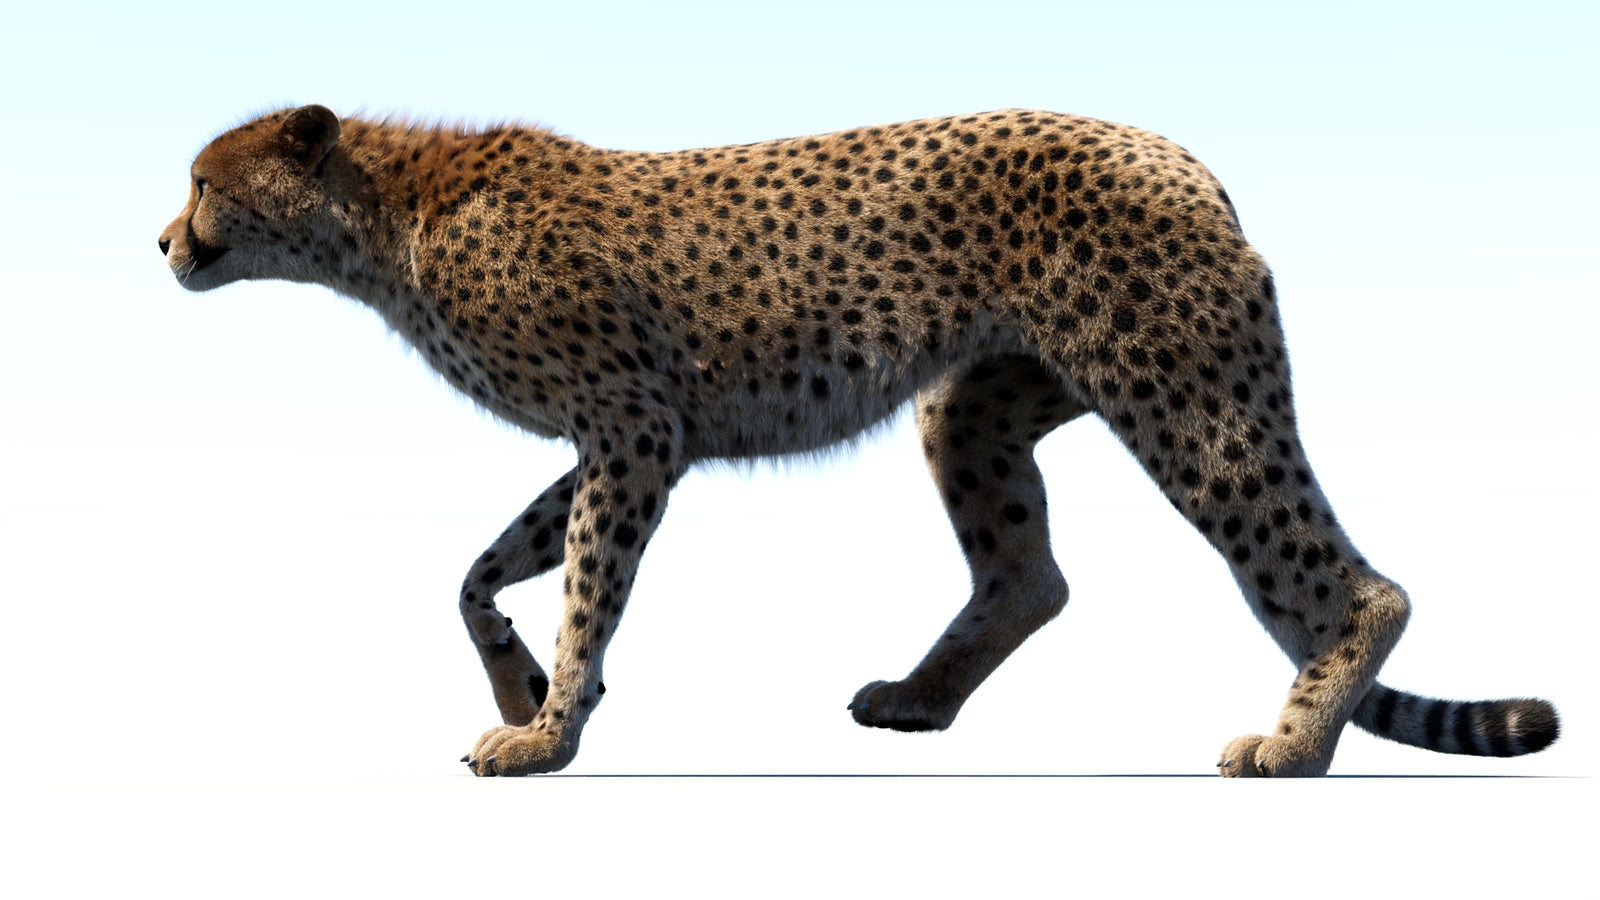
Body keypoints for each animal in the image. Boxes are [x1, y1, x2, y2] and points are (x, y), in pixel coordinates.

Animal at [159, 104, 1560, 776]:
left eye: (203, 182)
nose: (164, 239)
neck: (382, 216)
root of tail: (1177, 154)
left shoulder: (632, 429)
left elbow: (585, 590)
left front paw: (549, 730)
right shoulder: (628, 436)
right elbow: (477, 573)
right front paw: (523, 692)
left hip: (1180, 393)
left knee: (1349, 583)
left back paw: (1296, 743)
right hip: (975, 405)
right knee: (1027, 575)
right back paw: (920, 698)